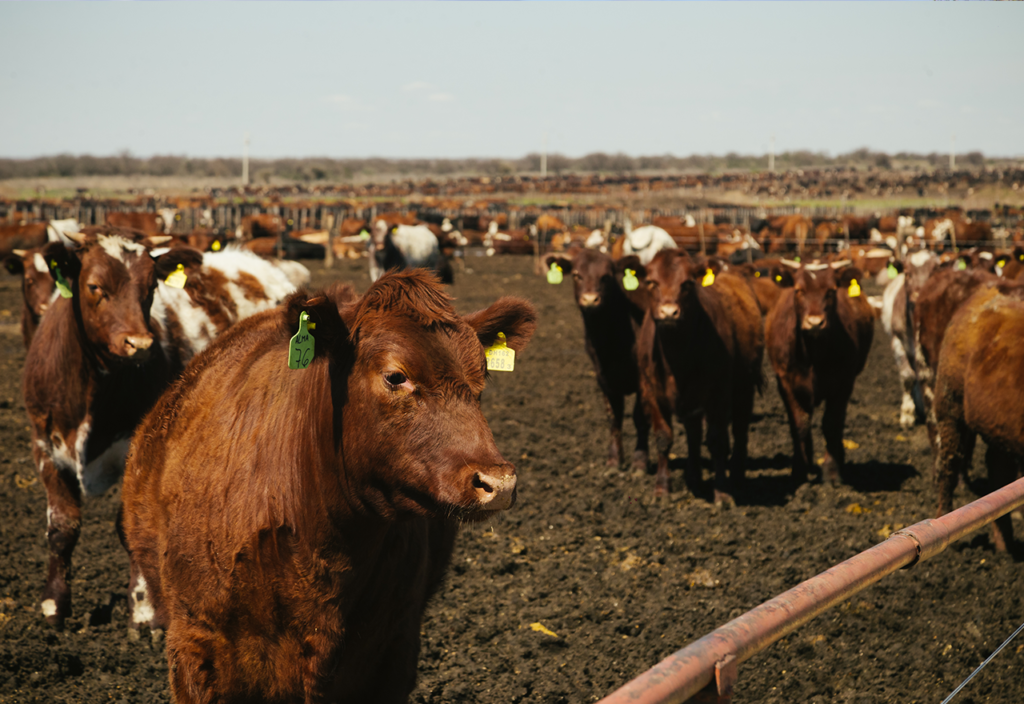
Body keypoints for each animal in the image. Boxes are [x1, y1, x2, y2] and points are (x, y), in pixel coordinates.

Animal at [23, 228, 296, 628]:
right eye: (94, 286)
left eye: (150, 287)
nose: (139, 344)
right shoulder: (44, 444)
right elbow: (62, 527)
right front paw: (53, 607)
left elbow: (129, 526)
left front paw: (144, 611)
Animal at [544, 249, 649, 470]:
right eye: (576, 275)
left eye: (607, 276)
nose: (590, 300)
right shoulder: (603, 378)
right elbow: (614, 417)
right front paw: (614, 461)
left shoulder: (643, 379)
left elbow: (640, 417)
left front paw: (640, 461)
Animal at [626, 250, 764, 505]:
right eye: (651, 282)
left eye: (687, 284)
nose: (669, 312)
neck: (676, 356)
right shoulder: (652, 393)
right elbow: (663, 438)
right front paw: (662, 489)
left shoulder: (718, 394)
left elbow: (717, 440)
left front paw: (722, 493)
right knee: (694, 432)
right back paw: (694, 477)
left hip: (744, 386)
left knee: (740, 428)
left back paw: (737, 476)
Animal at [766, 260, 874, 485]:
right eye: (799, 290)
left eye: (831, 291)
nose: (815, 322)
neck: (812, 354)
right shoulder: (786, 382)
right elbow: (799, 425)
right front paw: (799, 471)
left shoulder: (844, 383)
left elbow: (832, 424)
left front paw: (831, 472)